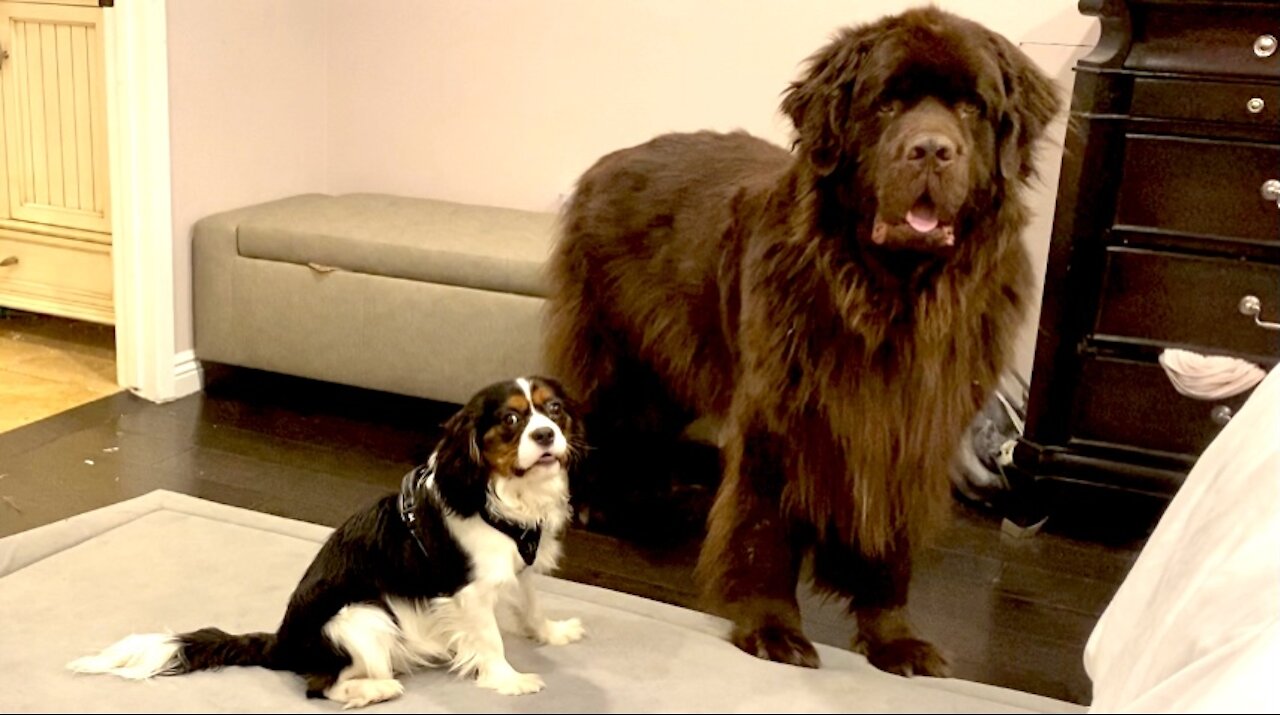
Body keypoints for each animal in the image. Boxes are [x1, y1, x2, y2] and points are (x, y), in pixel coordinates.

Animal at [67, 378, 586, 706]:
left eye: (555, 410)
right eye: (512, 420)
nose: (546, 435)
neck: (505, 494)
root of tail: (282, 643)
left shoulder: (518, 567)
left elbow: (532, 606)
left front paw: (553, 633)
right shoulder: (469, 592)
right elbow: (491, 640)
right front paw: (511, 680)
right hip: (364, 618)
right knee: (321, 688)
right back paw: (376, 691)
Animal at [545, 5, 1054, 675]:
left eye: (972, 107)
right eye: (888, 103)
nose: (931, 150)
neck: (891, 296)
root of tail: (608, 161)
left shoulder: (911, 426)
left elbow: (889, 551)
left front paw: (895, 639)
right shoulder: (780, 414)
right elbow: (766, 529)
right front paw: (772, 628)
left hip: (671, 361)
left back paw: (658, 496)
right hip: (616, 357)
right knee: (602, 422)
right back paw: (595, 504)